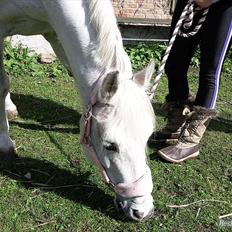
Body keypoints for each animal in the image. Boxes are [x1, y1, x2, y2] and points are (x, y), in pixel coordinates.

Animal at [0, 0, 156, 221]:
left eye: (147, 138)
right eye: (110, 146)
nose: (142, 211)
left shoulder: (55, 32)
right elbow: (2, 84)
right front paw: (5, 144)